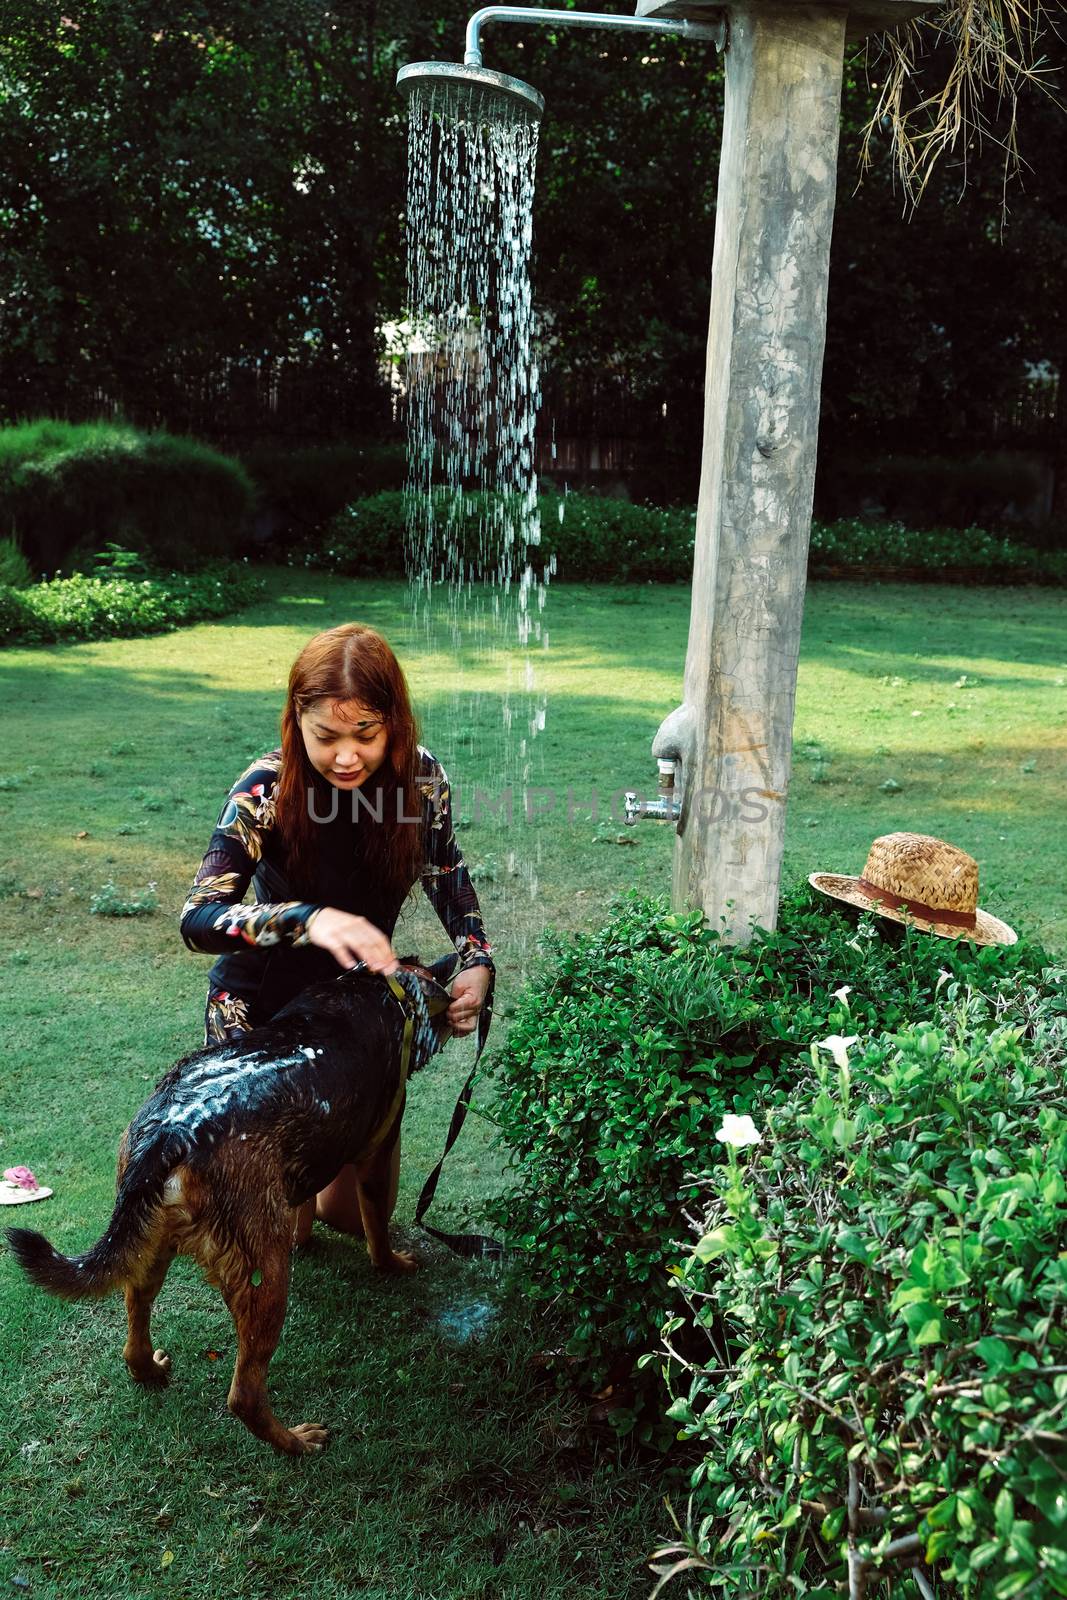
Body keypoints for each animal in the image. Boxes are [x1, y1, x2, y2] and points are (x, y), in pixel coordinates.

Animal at [7, 953, 460, 1459]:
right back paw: (295, 1442)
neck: (387, 988)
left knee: (134, 1319)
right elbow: (377, 1227)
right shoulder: (376, 1155)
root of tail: (171, 1132)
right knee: (244, 1393)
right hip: (266, 1277)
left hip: (149, 1241)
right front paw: (392, 1264)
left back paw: (149, 1370)